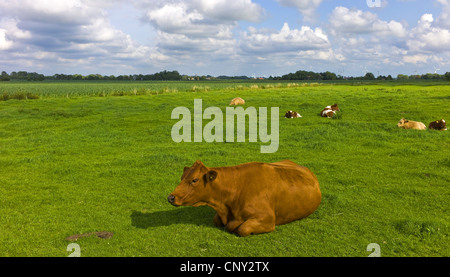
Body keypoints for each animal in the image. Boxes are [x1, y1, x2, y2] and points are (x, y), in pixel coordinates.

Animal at [167, 160, 322, 235]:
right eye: (182, 177)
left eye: (194, 180)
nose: (171, 197)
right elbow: (216, 220)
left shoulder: (267, 219)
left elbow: (243, 229)